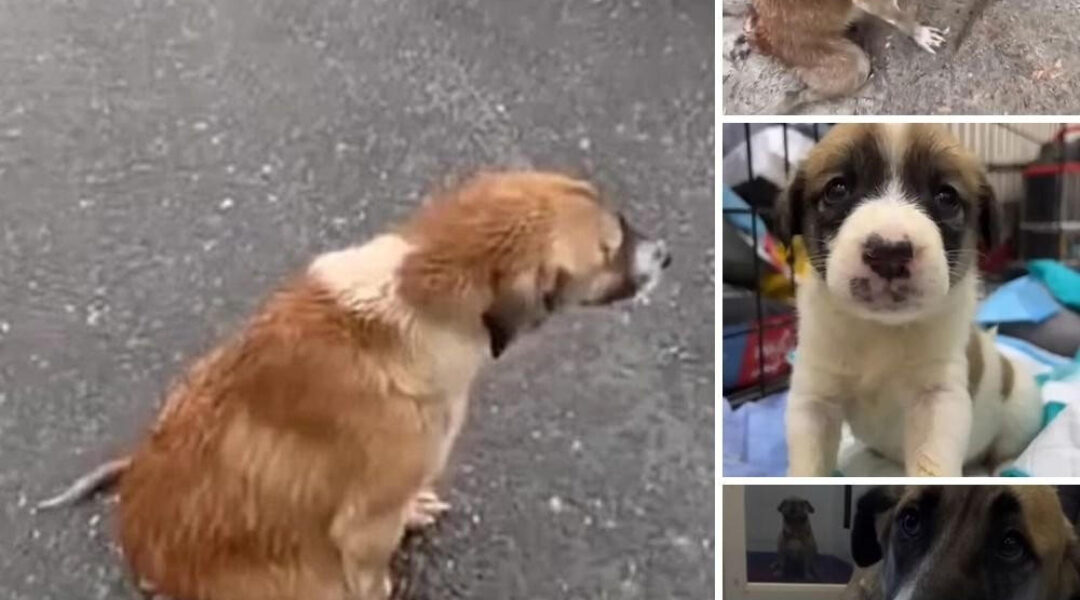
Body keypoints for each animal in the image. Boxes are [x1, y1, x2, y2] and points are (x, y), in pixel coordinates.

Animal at [39, 169, 665, 600]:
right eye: (610, 251)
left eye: (623, 222)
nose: (668, 253)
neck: (414, 299)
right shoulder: (364, 527)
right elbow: (371, 570)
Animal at [781, 124, 1041, 474]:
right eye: (837, 189)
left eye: (947, 197)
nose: (888, 254)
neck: (880, 330)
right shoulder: (814, 400)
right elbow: (809, 466)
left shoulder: (937, 399)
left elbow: (932, 467)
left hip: (1021, 408)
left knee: (1007, 449)